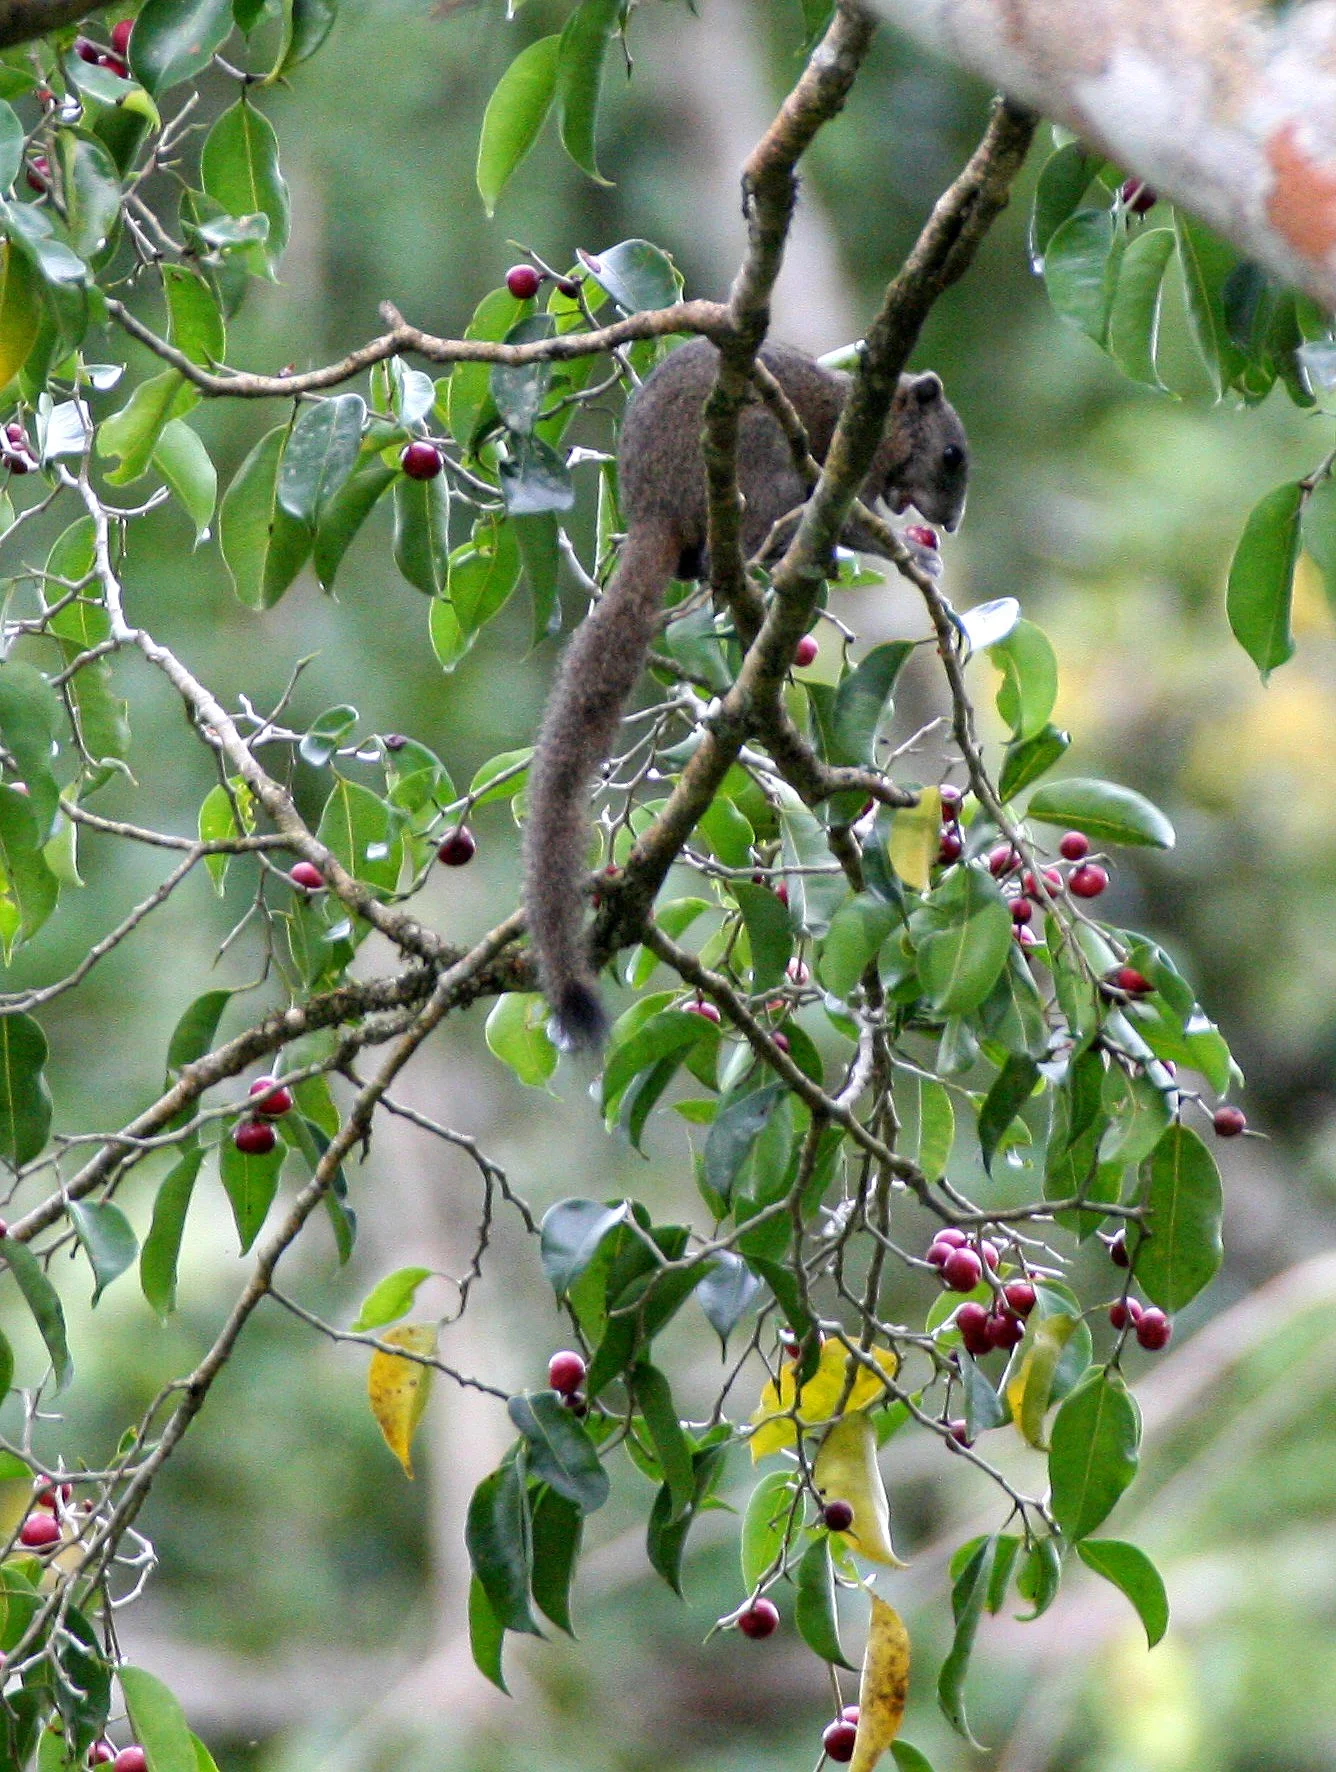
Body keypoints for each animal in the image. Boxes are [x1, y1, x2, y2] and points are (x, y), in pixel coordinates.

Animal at [522, 337, 970, 1050]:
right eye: (951, 454)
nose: (949, 524)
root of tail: (653, 507)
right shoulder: (846, 468)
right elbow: (854, 523)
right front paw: (915, 555)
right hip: (756, 456)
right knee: (754, 534)